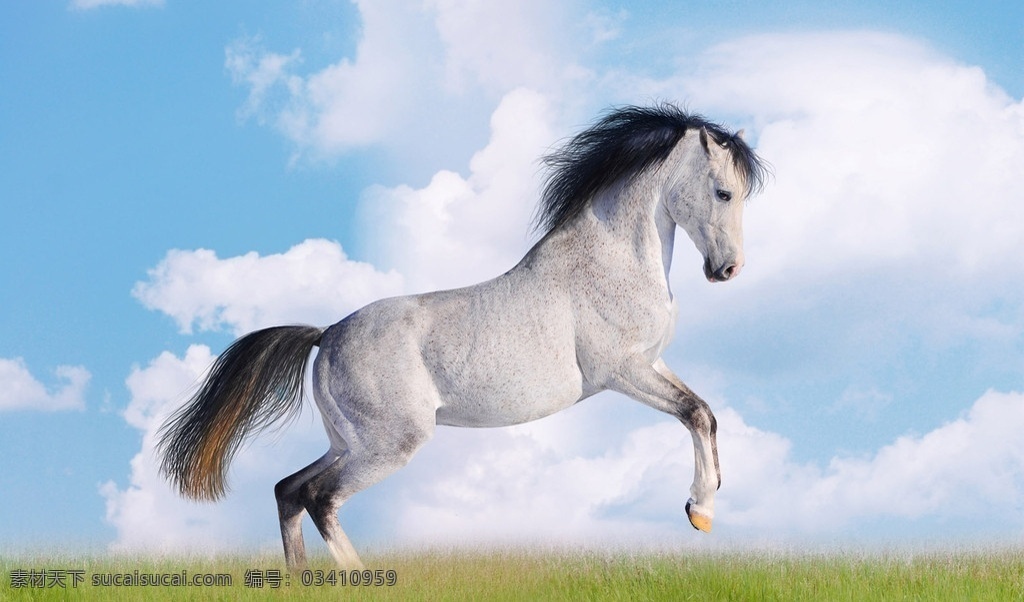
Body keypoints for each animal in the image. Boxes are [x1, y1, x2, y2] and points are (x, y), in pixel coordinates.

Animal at [157, 103, 769, 570]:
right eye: (722, 193)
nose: (728, 270)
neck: (610, 261)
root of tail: (326, 335)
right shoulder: (622, 371)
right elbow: (693, 413)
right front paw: (699, 511)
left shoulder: (651, 365)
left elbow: (705, 412)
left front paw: (704, 509)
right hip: (389, 445)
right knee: (318, 497)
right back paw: (357, 578)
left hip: (349, 441)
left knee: (288, 489)